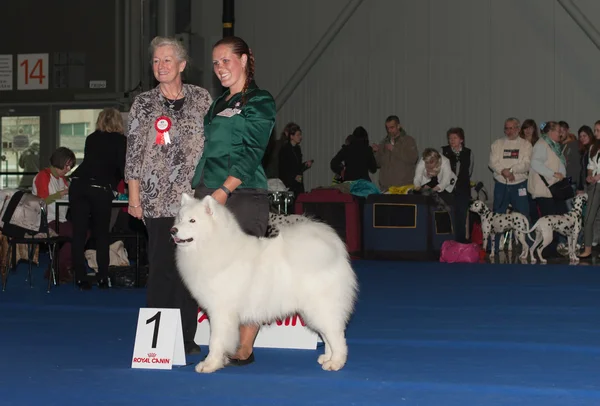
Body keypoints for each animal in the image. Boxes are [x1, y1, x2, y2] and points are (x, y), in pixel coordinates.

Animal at [170, 194, 356, 374]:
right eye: (180, 219)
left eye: (192, 221)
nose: (173, 230)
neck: (213, 246)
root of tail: (335, 254)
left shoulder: (220, 312)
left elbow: (215, 341)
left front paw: (210, 365)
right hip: (312, 312)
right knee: (327, 335)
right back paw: (327, 358)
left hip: (320, 308)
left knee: (336, 336)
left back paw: (336, 362)